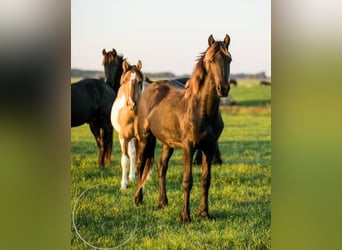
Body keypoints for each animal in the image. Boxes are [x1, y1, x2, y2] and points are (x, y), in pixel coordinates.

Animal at [111, 60, 144, 189]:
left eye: (139, 81)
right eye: (125, 81)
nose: (131, 104)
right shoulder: (124, 137)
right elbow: (125, 160)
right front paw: (123, 185)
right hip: (130, 138)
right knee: (132, 154)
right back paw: (131, 177)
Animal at [134, 33, 232, 223]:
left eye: (229, 59)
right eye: (211, 60)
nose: (223, 88)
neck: (202, 109)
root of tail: (150, 87)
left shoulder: (209, 147)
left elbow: (205, 180)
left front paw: (204, 213)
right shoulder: (189, 147)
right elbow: (188, 181)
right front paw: (185, 216)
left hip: (168, 143)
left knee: (161, 166)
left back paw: (162, 202)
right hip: (145, 137)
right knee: (140, 165)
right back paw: (138, 199)